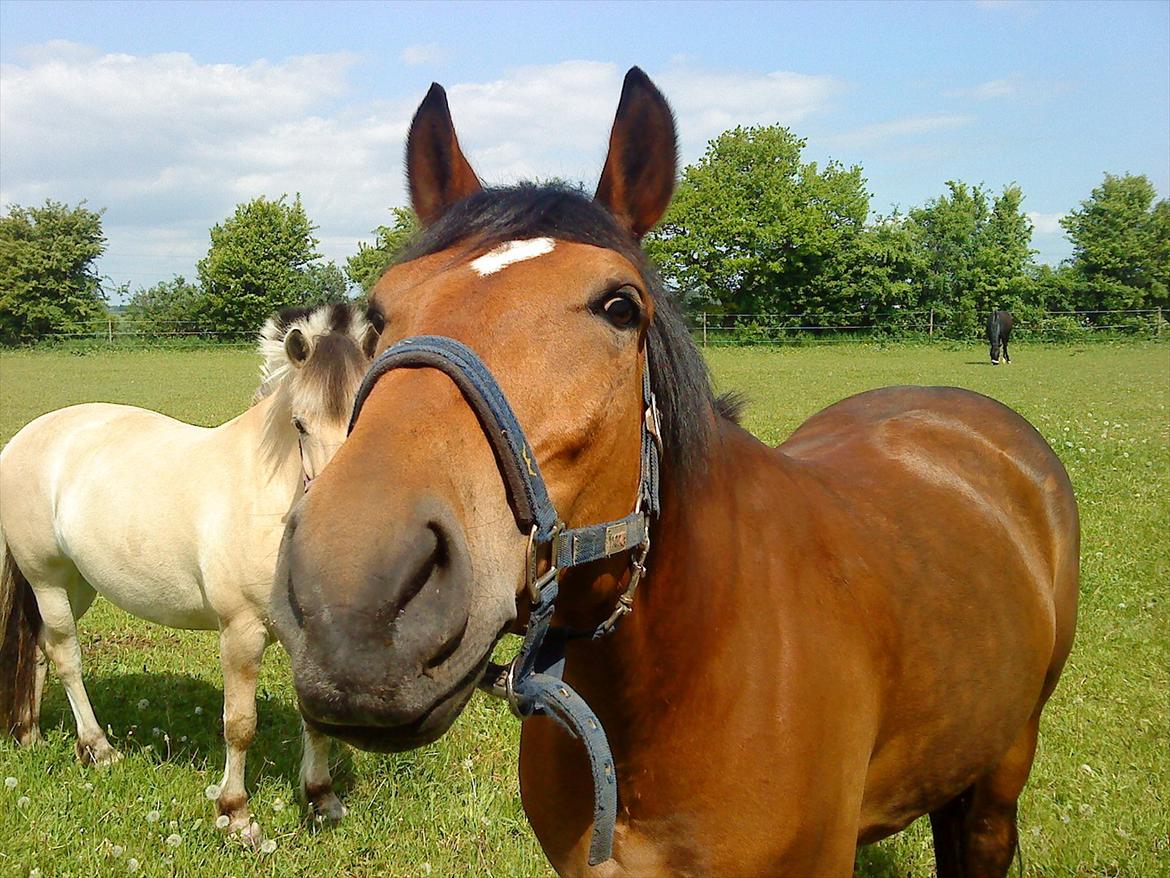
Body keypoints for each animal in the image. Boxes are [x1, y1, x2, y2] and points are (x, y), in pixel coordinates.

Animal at [0, 302, 374, 838]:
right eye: (300, 425)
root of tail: (25, 438)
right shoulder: (240, 631)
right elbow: (239, 724)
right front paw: (235, 814)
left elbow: (313, 717)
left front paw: (322, 797)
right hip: (46, 578)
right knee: (65, 655)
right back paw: (99, 749)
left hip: (77, 583)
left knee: (37, 649)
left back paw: (30, 735)